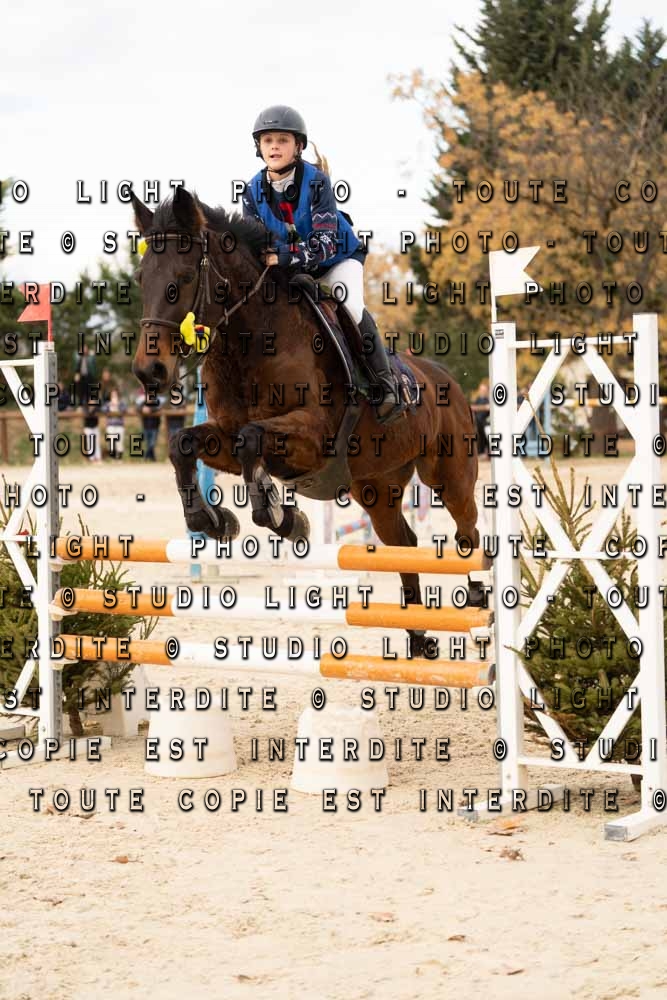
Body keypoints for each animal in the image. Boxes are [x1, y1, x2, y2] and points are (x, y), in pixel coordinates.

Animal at [130, 188, 482, 655]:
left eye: (184, 278)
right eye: (141, 278)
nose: (148, 371)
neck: (251, 342)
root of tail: (447, 380)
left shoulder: (314, 437)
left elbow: (251, 439)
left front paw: (282, 516)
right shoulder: (223, 436)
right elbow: (184, 444)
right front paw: (213, 522)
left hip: (449, 473)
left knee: (467, 530)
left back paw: (477, 598)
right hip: (377, 486)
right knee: (403, 542)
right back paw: (420, 635)